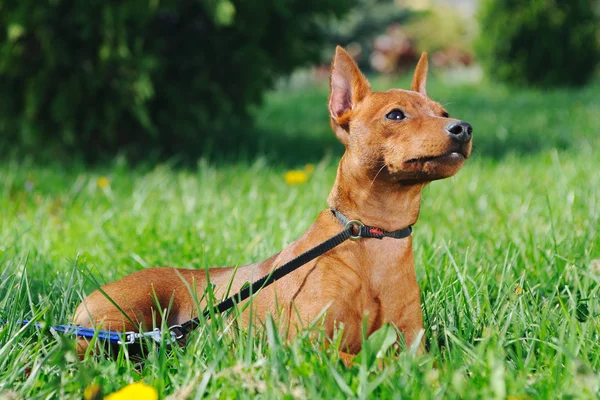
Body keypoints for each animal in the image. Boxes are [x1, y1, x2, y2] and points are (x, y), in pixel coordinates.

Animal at [72, 47, 474, 360]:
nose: (463, 128)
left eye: (441, 113)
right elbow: (368, 361)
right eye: (395, 115)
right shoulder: (309, 346)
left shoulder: (414, 346)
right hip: (114, 322)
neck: (375, 235)